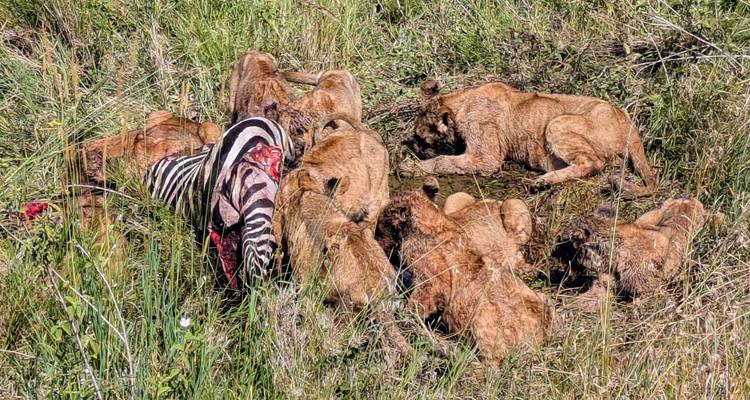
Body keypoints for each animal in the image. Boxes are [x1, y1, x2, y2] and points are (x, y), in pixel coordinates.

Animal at [376, 179, 557, 365]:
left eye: (381, 224)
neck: (432, 220)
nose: (376, 239)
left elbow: (416, 306)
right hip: (544, 299)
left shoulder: (429, 279)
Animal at [400, 79, 658, 197]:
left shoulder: (486, 157)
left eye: (421, 139)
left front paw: (411, 167)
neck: (459, 102)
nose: (417, 149)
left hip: (557, 123)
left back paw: (542, 182)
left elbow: (443, 161)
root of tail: (629, 124)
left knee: (593, 163)